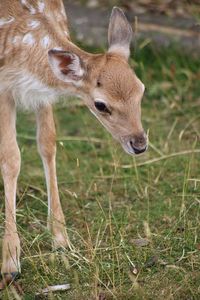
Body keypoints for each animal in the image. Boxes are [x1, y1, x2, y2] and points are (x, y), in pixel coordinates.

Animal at [0, 0, 147, 284]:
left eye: (141, 89)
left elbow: (47, 144)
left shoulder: (42, 92)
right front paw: (10, 261)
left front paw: (60, 240)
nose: (139, 144)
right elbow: (11, 158)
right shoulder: (3, 87)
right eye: (101, 105)